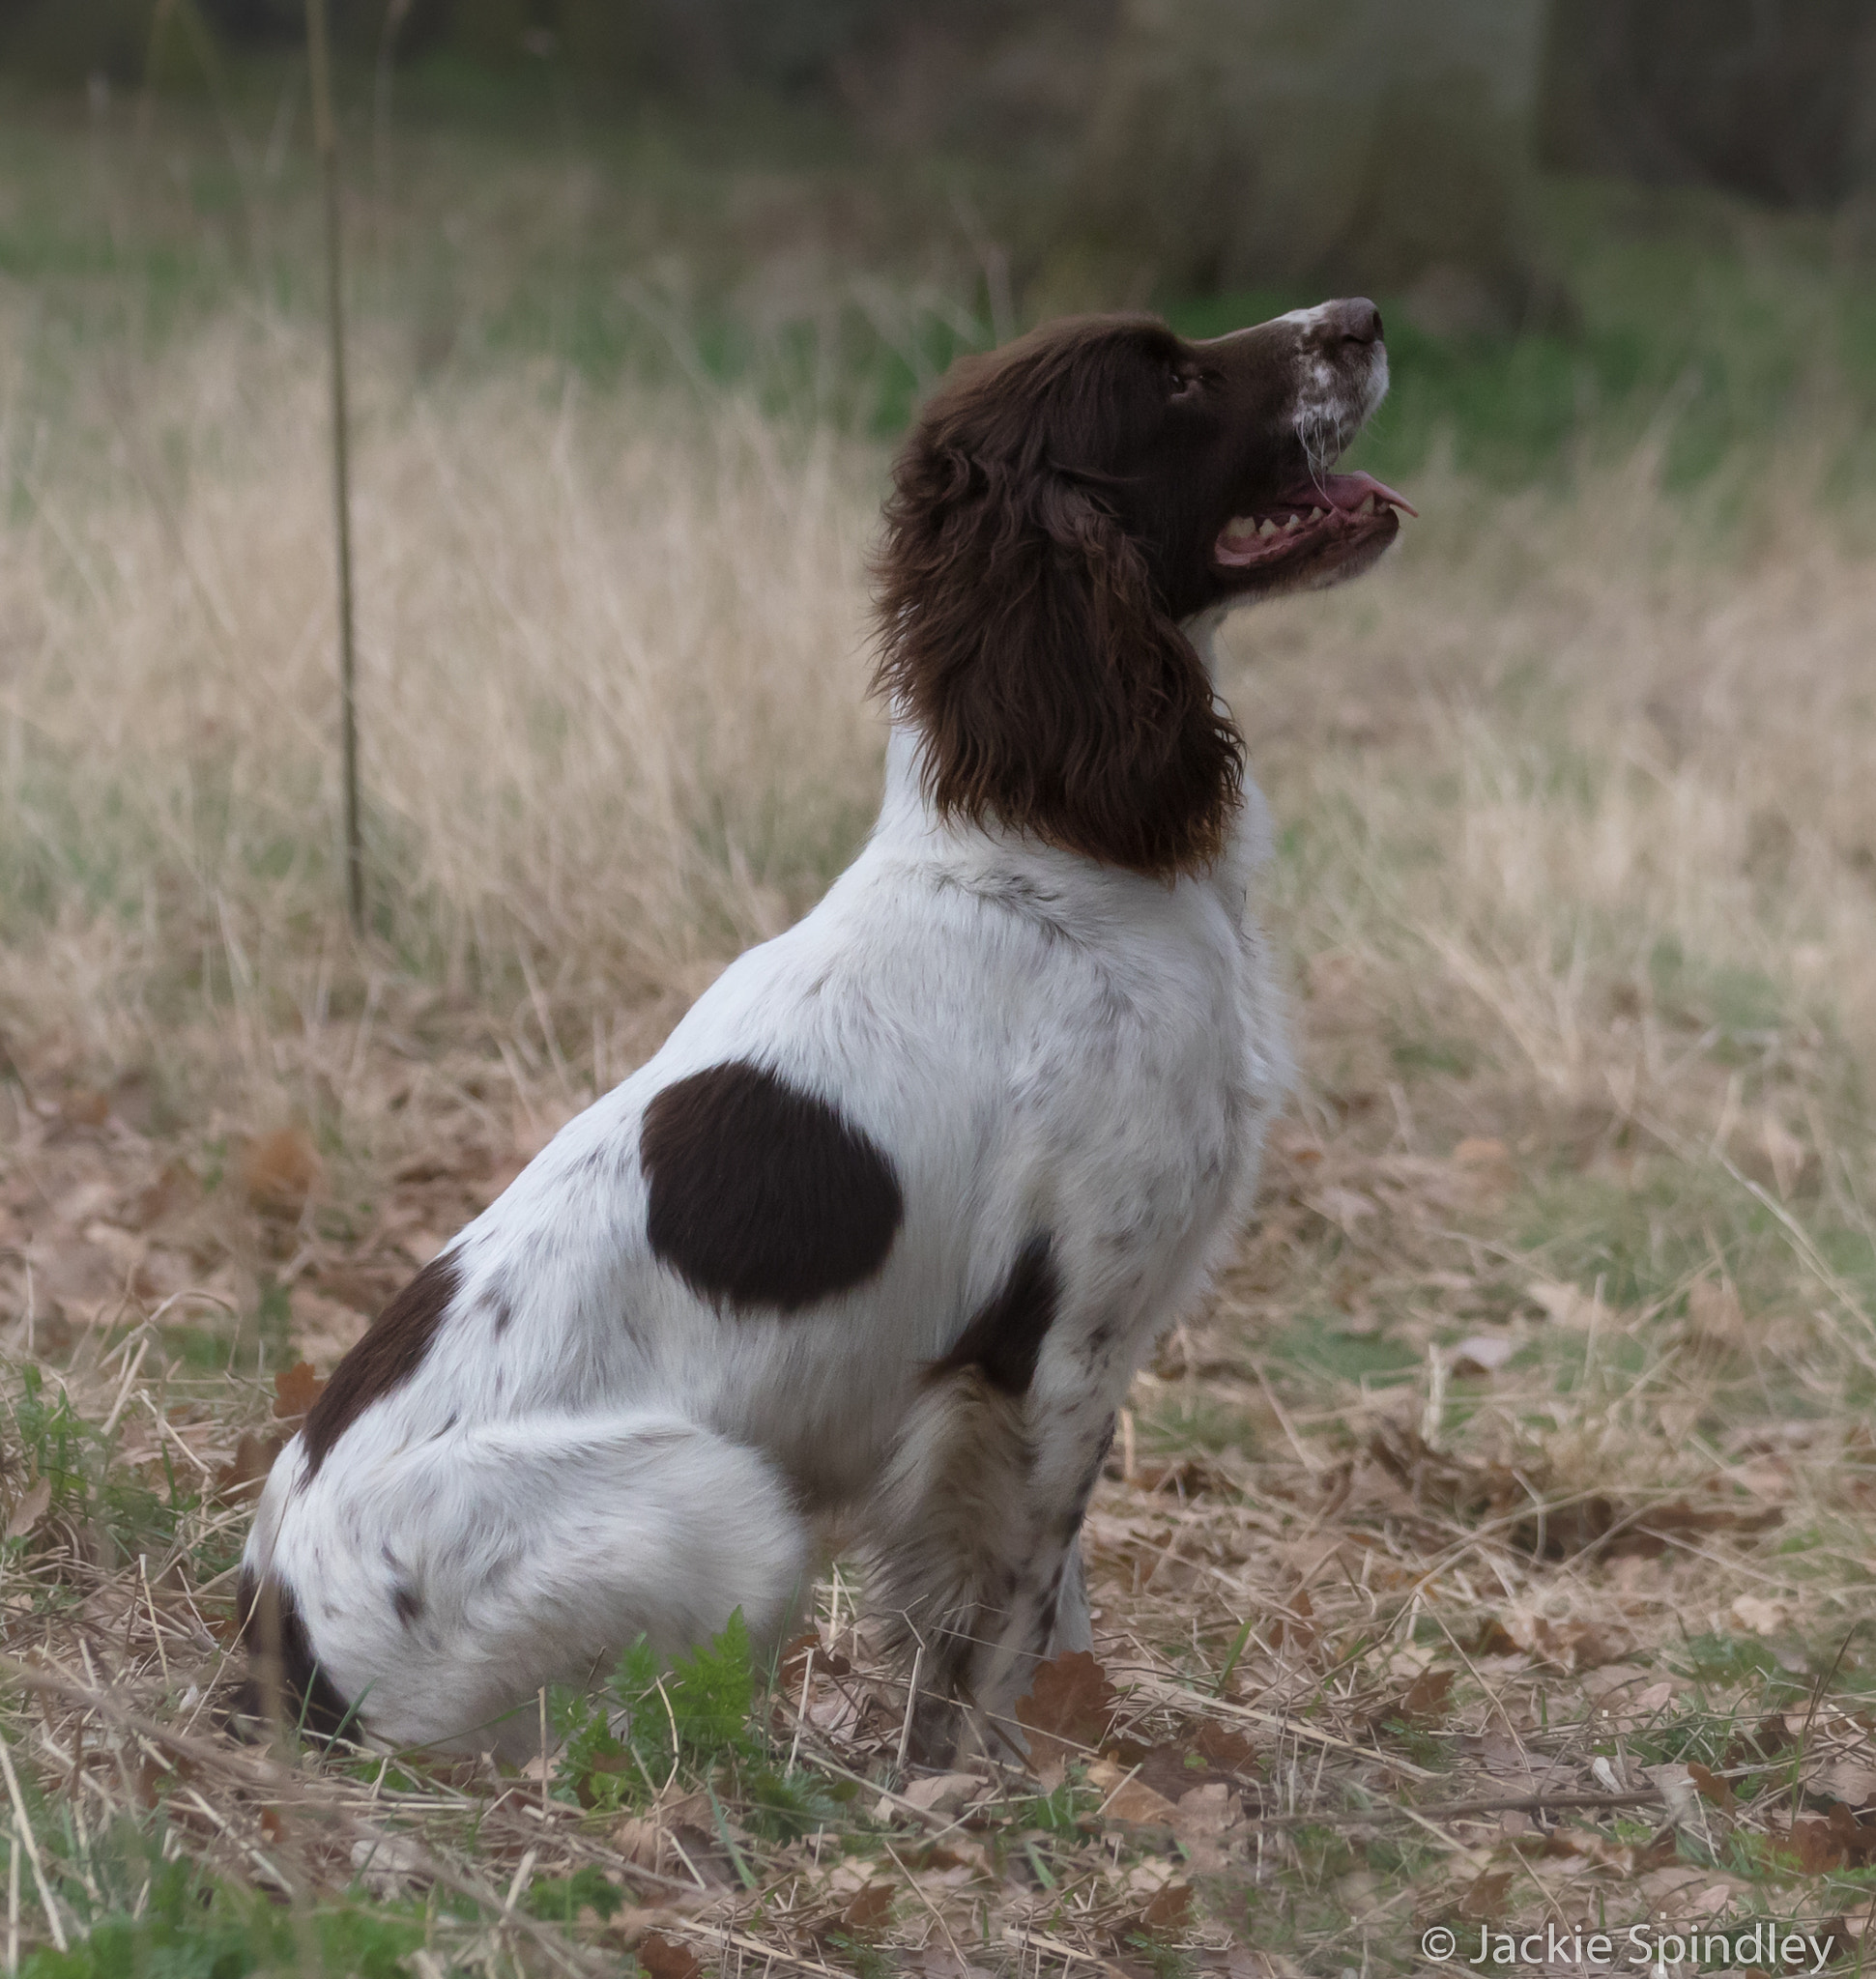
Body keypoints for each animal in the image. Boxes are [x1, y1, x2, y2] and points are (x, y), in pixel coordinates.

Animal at [234, 301, 1408, 1757]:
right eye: (1176, 379)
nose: (1360, 317)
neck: (1053, 844)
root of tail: (280, 1633)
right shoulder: (1063, 1338)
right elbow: (1017, 1603)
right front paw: (1003, 1777)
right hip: (723, 1502)